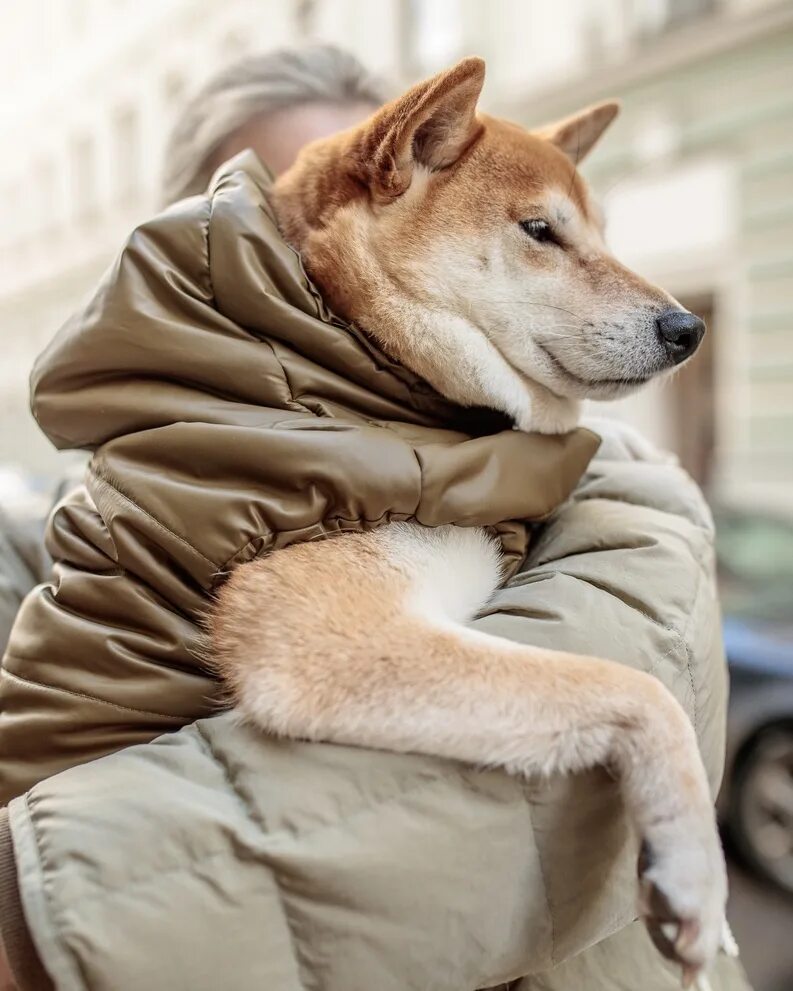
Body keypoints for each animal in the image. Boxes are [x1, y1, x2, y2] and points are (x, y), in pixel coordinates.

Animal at [213, 58, 720, 980]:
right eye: (540, 231)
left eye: (603, 232)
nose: (688, 326)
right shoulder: (330, 642)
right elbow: (638, 688)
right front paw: (691, 860)